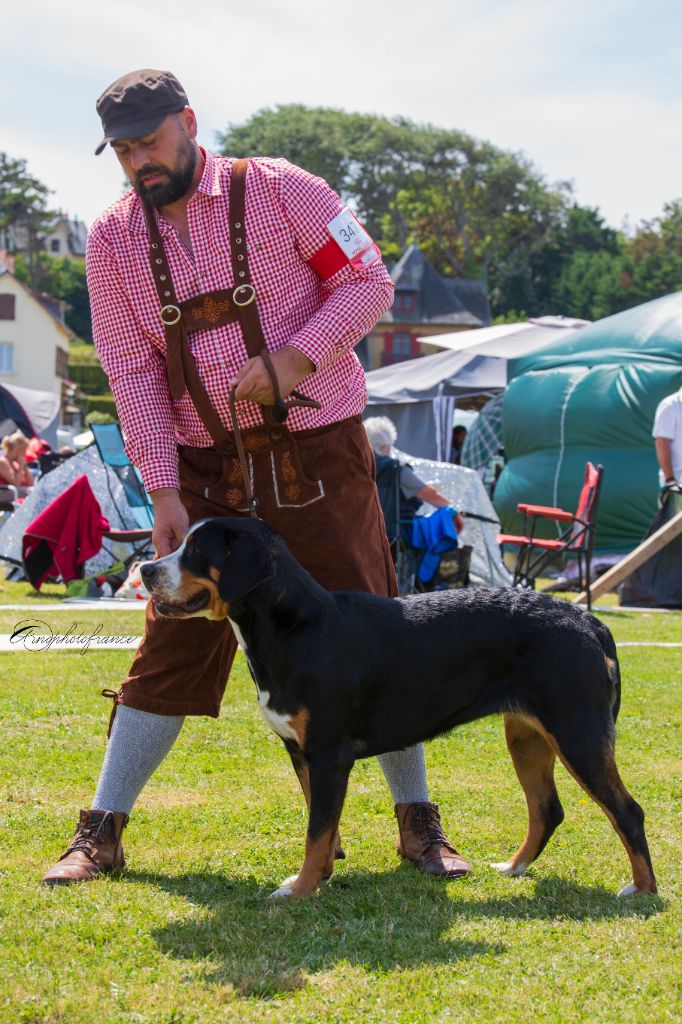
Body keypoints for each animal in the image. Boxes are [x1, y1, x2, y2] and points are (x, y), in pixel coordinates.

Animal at [140, 520, 655, 897]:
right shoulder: (301, 753)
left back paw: (641, 891)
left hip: (577, 732)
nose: (145, 568)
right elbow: (325, 830)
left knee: (628, 812)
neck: (296, 630)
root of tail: (584, 618)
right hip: (527, 736)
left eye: (196, 551)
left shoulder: (328, 755)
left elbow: (316, 832)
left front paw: (300, 891)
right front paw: (318, 879)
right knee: (547, 809)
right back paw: (514, 867)